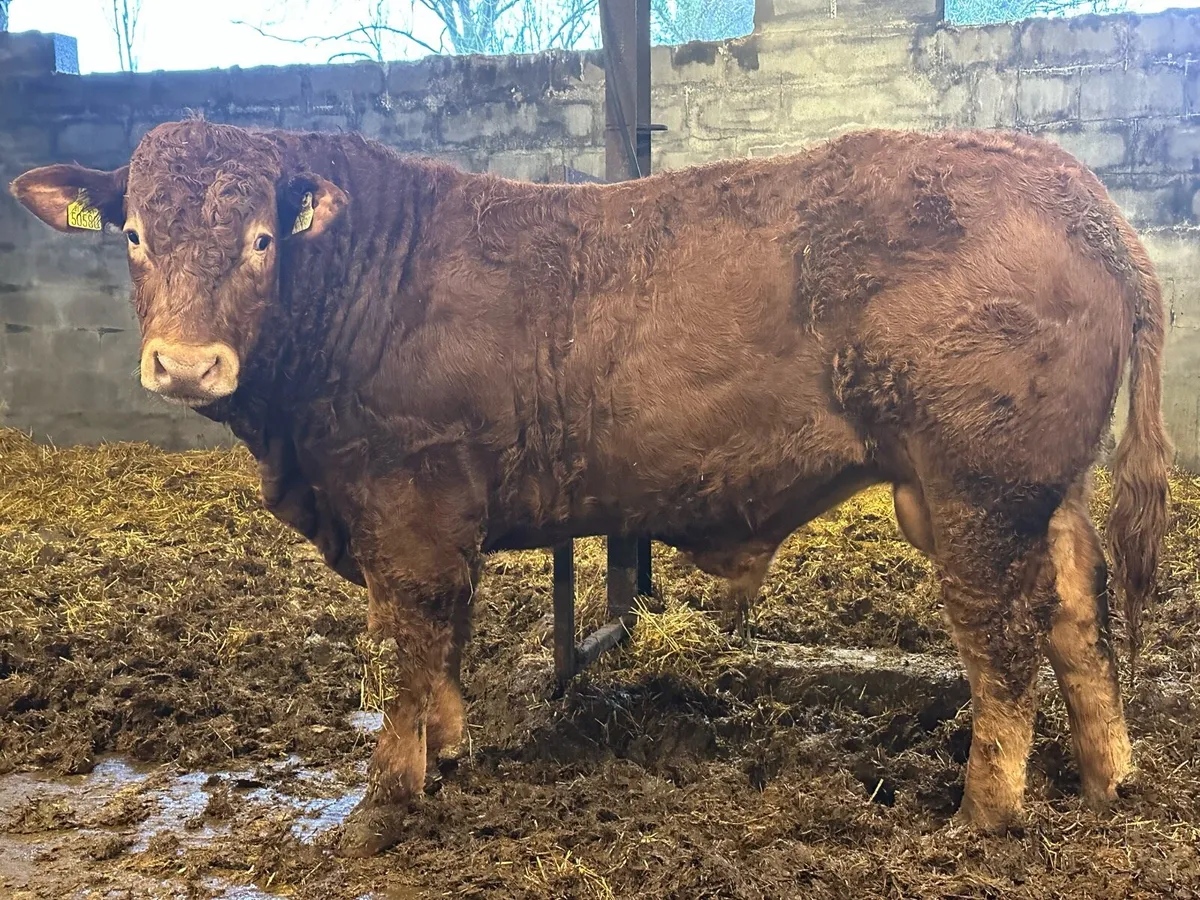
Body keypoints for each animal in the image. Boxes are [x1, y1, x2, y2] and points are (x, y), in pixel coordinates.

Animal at [10, 117, 1170, 857]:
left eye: (260, 239)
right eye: (133, 233)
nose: (186, 365)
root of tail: (1076, 192)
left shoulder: (409, 495)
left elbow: (409, 640)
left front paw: (387, 798)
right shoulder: (440, 508)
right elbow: (446, 638)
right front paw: (451, 753)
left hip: (975, 488)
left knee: (1004, 641)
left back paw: (984, 814)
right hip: (1036, 490)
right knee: (1077, 614)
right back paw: (1107, 777)